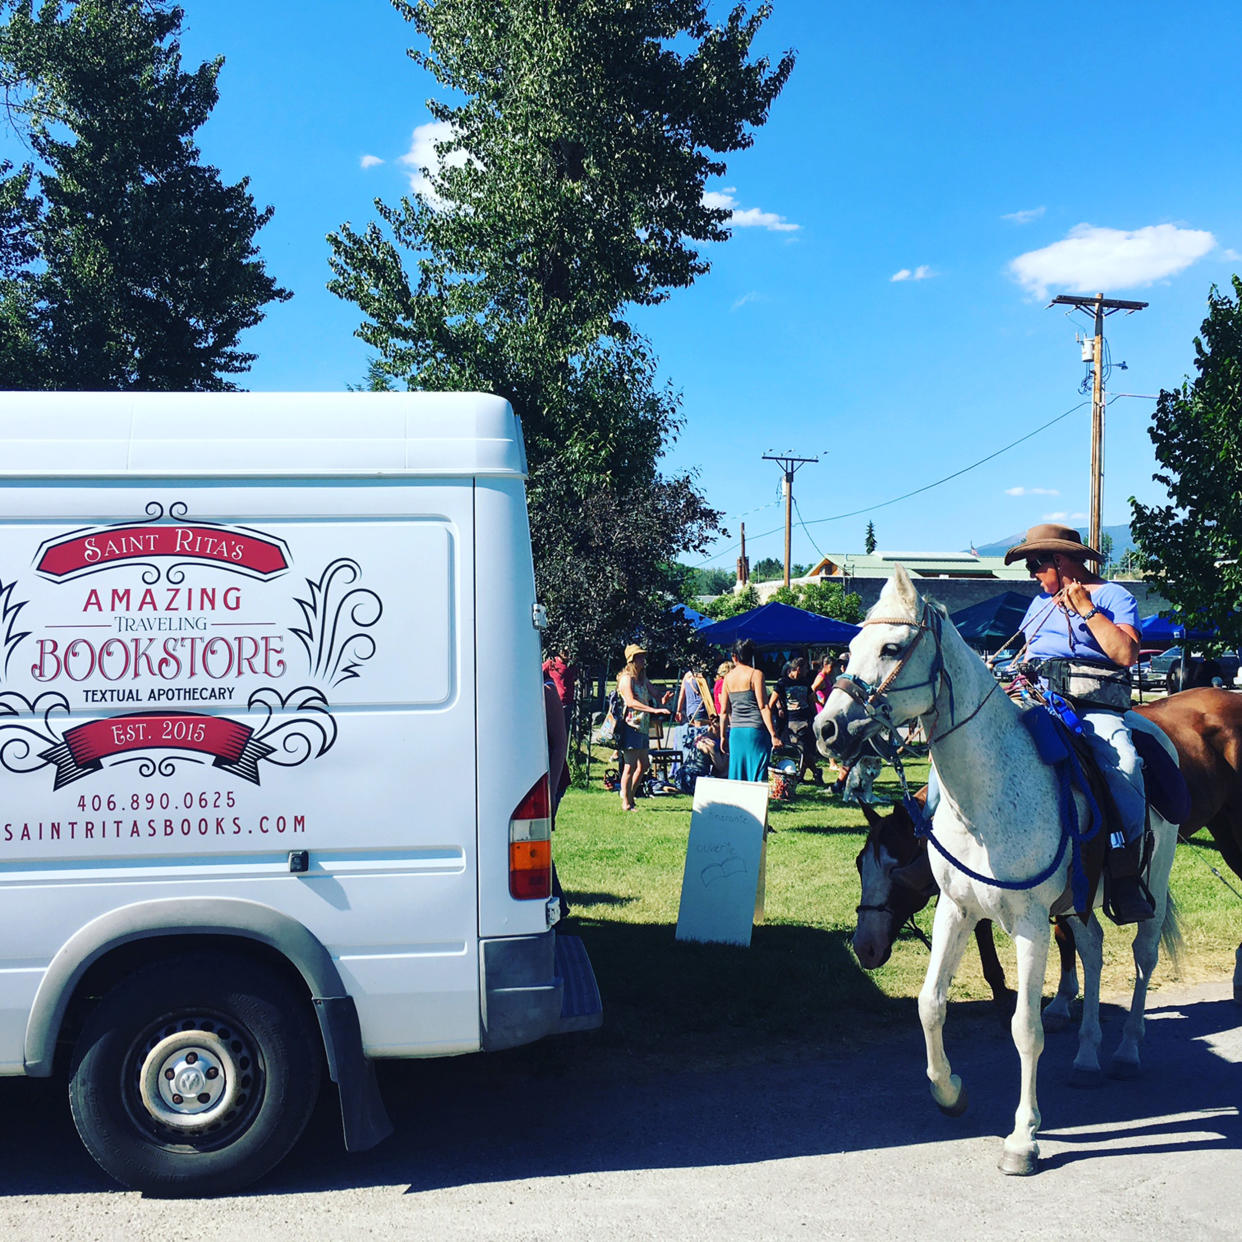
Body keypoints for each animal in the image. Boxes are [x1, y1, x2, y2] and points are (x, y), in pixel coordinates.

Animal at [809, 568, 1177, 1177]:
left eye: (891, 648)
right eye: (849, 647)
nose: (827, 729)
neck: (985, 798)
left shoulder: (1030, 923)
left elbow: (1025, 1028)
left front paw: (1023, 1139)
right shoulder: (955, 911)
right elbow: (930, 1004)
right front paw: (949, 1092)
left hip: (1154, 882)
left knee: (1143, 956)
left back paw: (1125, 1050)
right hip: (1076, 903)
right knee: (1094, 949)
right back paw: (1088, 1057)